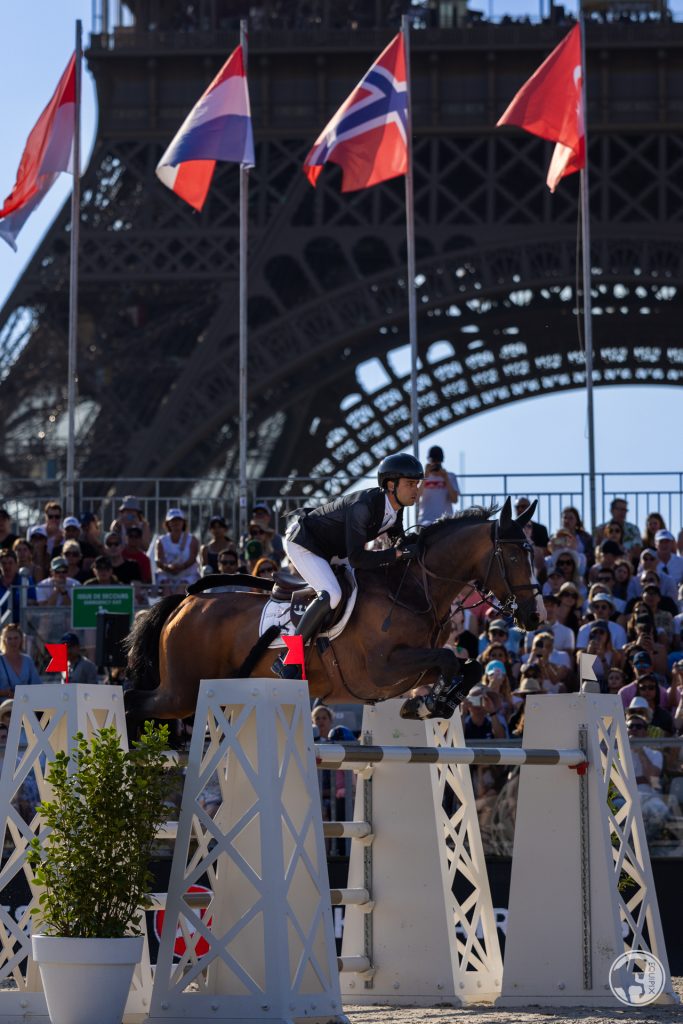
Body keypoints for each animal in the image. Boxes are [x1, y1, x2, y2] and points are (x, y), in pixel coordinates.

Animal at [124, 497, 544, 729]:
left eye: (533, 553)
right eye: (512, 556)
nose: (535, 615)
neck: (412, 588)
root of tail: (185, 604)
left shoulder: (405, 670)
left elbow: (467, 664)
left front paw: (429, 703)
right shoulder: (380, 669)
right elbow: (449, 659)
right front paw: (430, 703)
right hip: (180, 692)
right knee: (133, 701)